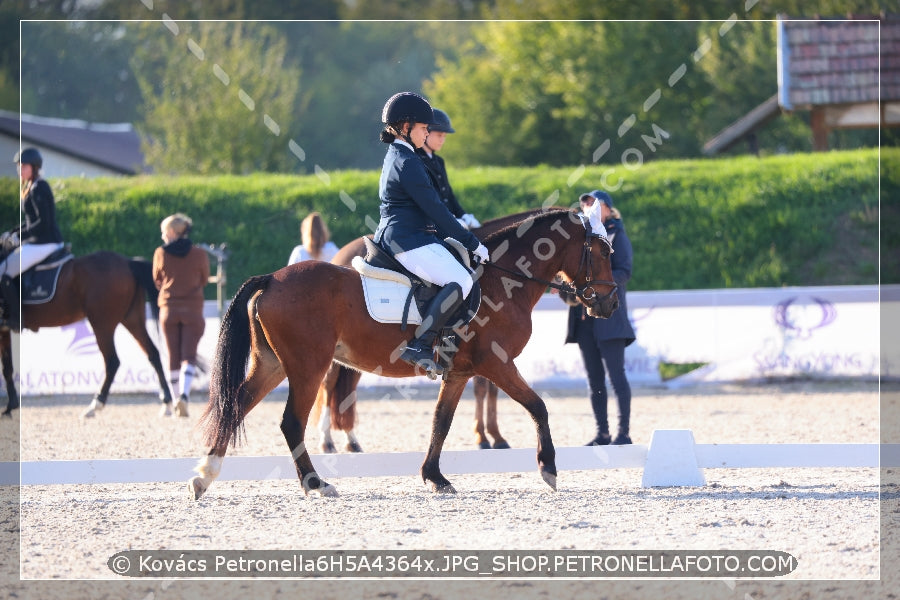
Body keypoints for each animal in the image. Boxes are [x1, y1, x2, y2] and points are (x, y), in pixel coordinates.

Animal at [0, 248, 171, 418]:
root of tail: (128, 262)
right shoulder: (4, 331)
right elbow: (7, 368)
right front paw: (10, 406)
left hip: (102, 325)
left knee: (112, 361)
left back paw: (95, 404)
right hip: (131, 319)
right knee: (153, 354)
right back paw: (167, 402)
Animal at [312, 209, 548, 452]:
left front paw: (494, 436)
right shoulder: (492, 359)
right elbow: (484, 390)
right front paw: (485, 437)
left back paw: (351, 440)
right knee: (329, 384)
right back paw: (327, 441)